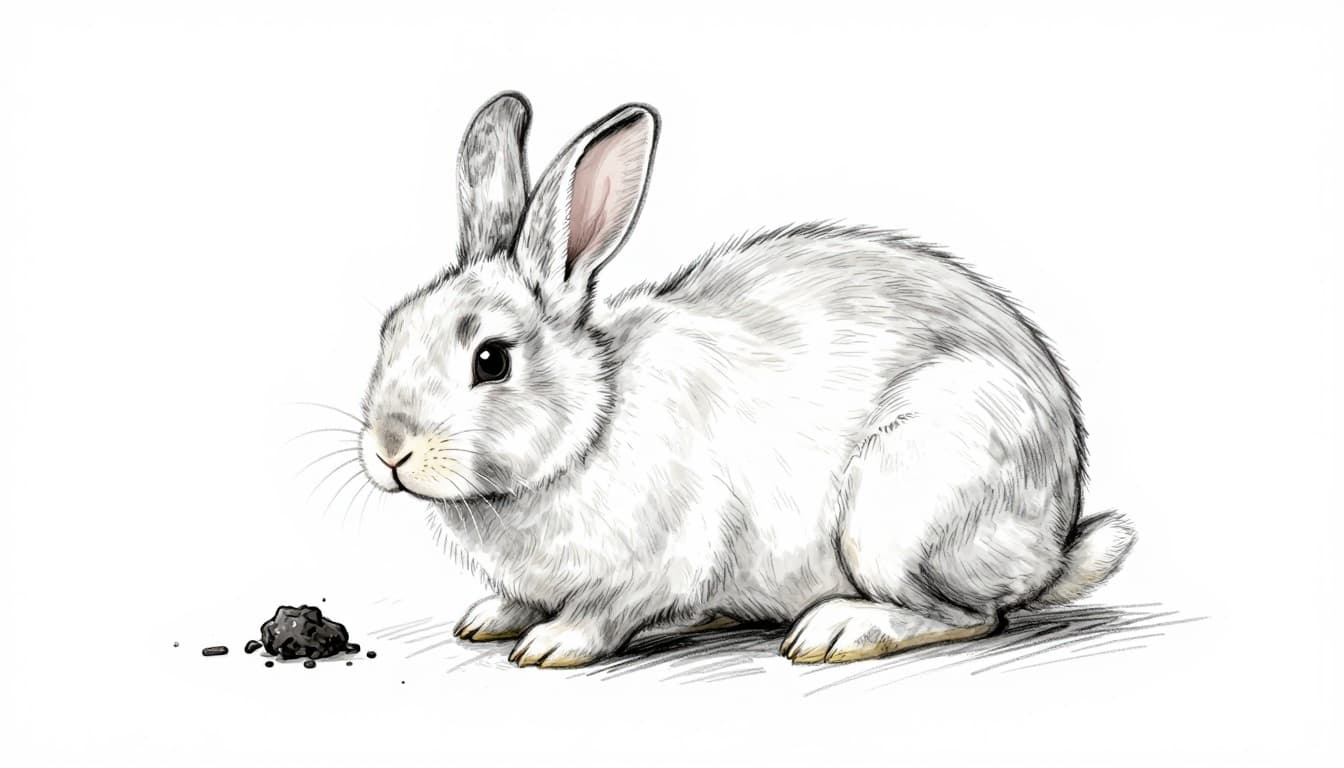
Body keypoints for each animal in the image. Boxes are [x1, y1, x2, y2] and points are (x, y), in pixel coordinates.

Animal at [356, 91, 1136, 667]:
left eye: (491, 360)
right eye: (389, 330)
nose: (390, 450)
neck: (590, 427)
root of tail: (1054, 543)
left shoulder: (674, 552)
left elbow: (609, 610)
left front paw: (552, 644)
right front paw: (490, 617)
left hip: (904, 505)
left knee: (973, 614)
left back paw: (837, 631)